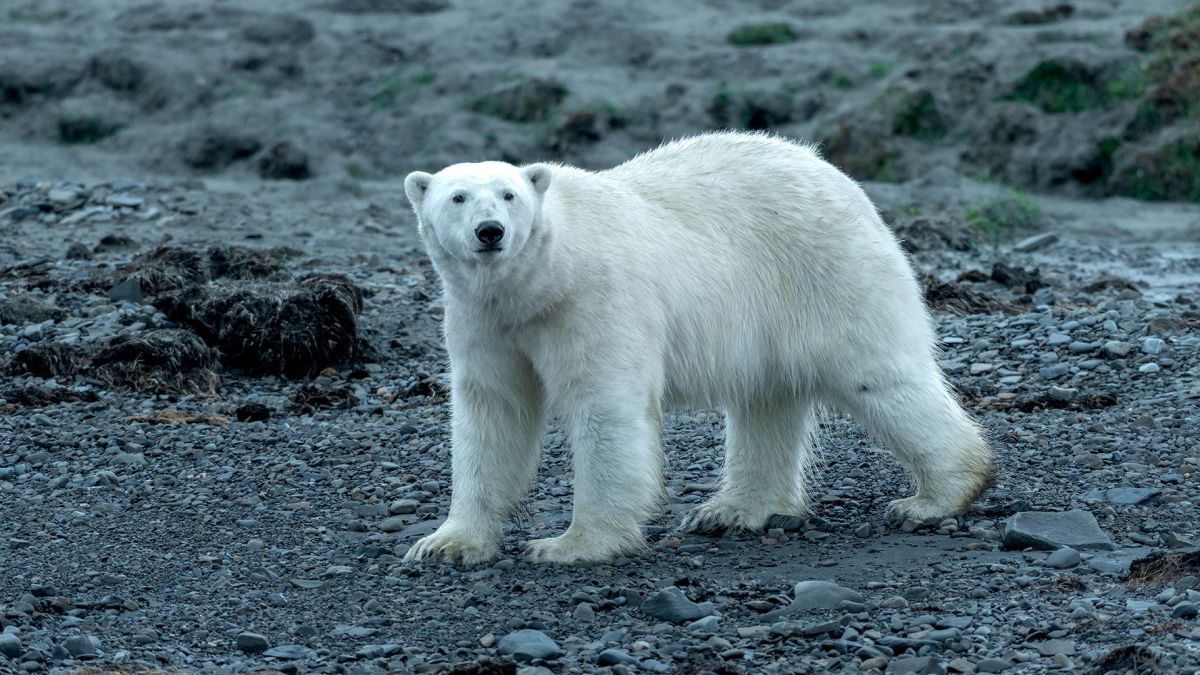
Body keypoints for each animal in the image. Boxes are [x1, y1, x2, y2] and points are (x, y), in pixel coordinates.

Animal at [403, 130, 993, 562]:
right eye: (457, 197)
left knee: (877, 374)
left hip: (826, 272)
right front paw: (447, 543)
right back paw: (732, 510)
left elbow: (604, 406)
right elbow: (493, 412)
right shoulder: (483, 321)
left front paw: (572, 544)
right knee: (766, 398)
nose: (490, 231)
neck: (542, 280)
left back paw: (934, 498)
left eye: (509, 195)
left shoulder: (595, 301)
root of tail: (835, 175)